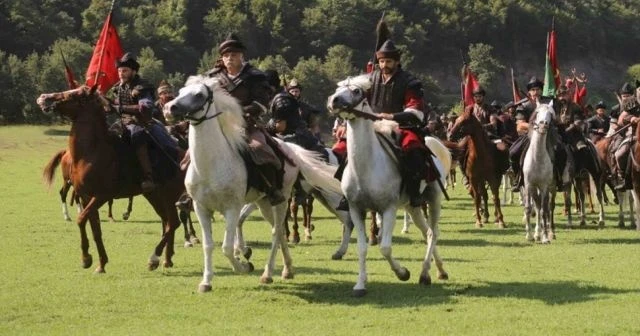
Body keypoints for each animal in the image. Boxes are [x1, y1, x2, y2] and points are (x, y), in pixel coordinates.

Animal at [38, 85, 185, 272]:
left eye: (77, 95)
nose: (44, 98)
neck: (91, 152)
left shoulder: (101, 196)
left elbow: (81, 219)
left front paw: (86, 258)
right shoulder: (86, 197)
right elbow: (95, 229)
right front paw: (100, 263)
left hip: (169, 196)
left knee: (173, 222)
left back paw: (154, 258)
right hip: (154, 195)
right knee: (167, 221)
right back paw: (166, 259)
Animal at [168, 75, 342, 292]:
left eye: (199, 94)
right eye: (181, 92)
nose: (170, 108)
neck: (212, 163)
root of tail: (290, 148)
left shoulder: (232, 208)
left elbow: (227, 247)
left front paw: (244, 265)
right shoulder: (201, 208)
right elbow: (209, 245)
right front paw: (206, 282)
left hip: (282, 200)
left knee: (277, 231)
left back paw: (267, 274)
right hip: (264, 203)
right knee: (279, 231)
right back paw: (287, 269)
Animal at [328, 74, 448, 296]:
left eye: (356, 91)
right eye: (337, 89)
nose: (334, 101)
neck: (366, 166)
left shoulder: (389, 209)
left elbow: (385, 248)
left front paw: (403, 273)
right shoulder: (356, 209)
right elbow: (362, 247)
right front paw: (360, 284)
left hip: (434, 200)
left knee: (433, 233)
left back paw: (424, 274)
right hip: (413, 206)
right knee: (426, 232)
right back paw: (439, 271)